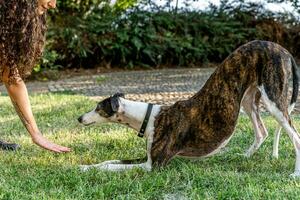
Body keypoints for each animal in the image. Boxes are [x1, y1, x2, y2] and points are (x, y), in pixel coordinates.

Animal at [78, 40, 300, 177]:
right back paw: (244, 157)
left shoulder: (153, 166)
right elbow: (109, 161)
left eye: (98, 107)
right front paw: (86, 166)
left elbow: (112, 166)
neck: (149, 116)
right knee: (262, 132)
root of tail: (283, 50)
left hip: (273, 100)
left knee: (295, 137)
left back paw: (295, 174)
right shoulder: (146, 157)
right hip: (247, 101)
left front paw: (86, 169)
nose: (79, 118)